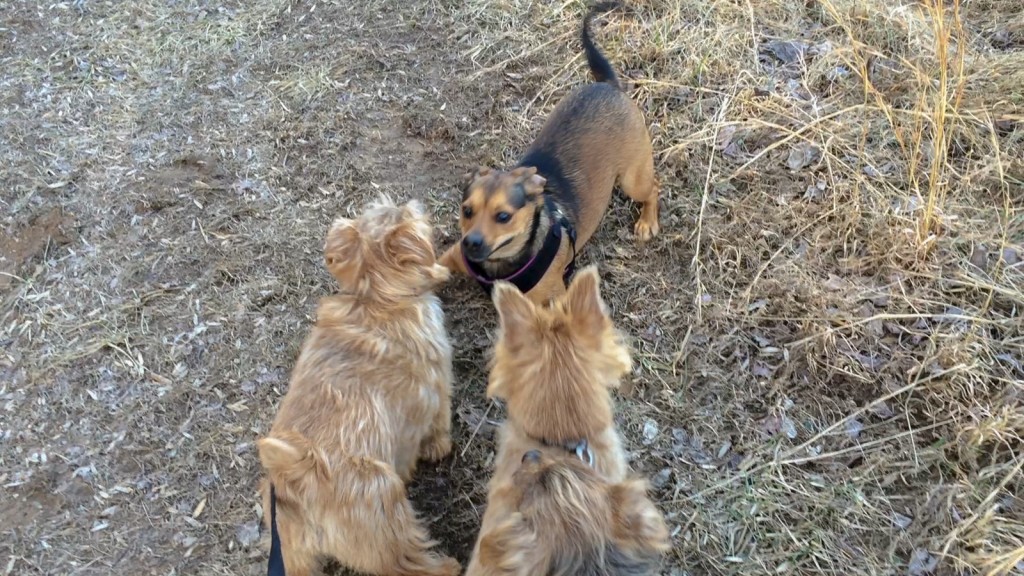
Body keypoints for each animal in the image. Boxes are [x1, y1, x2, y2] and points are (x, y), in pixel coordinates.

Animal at [256, 195, 460, 573]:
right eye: (407, 216)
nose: (414, 203)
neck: (375, 298)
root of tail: (301, 478)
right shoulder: (437, 389)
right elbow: (436, 426)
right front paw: (438, 447)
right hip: (385, 513)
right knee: (408, 563)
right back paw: (447, 567)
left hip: (291, 553)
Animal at [440, 3, 663, 305]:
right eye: (467, 210)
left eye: (503, 217)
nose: (471, 243)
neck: (498, 266)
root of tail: (609, 85)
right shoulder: (449, 257)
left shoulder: (554, 299)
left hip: (632, 179)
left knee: (653, 187)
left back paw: (647, 222)